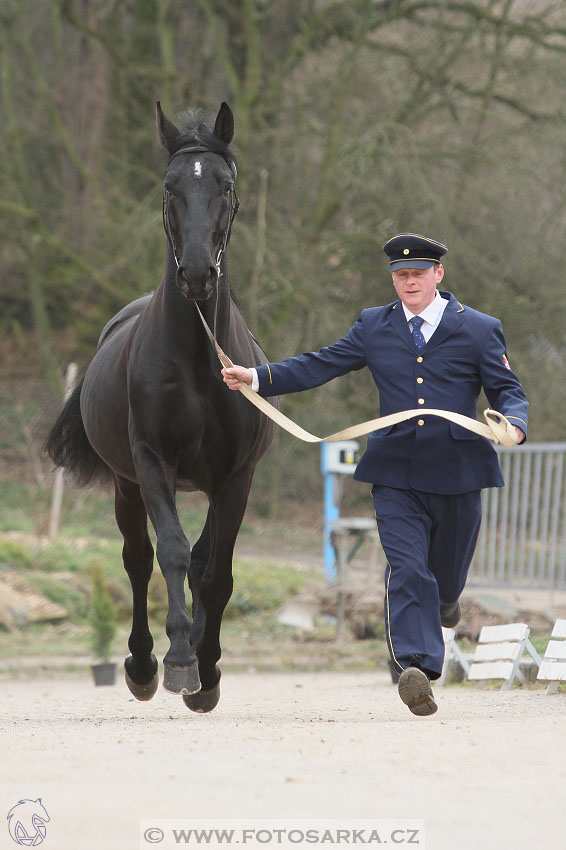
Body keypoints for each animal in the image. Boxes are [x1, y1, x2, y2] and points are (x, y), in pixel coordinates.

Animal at [47, 102, 280, 712]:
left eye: (225, 185)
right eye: (170, 186)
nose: (196, 273)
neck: (200, 359)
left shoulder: (235, 477)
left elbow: (216, 572)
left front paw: (208, 670)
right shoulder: (152, 463)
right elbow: (170, 552)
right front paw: (177, 661)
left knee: (202, 561)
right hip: (127, 485)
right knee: (138, 559)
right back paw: (143, 663)